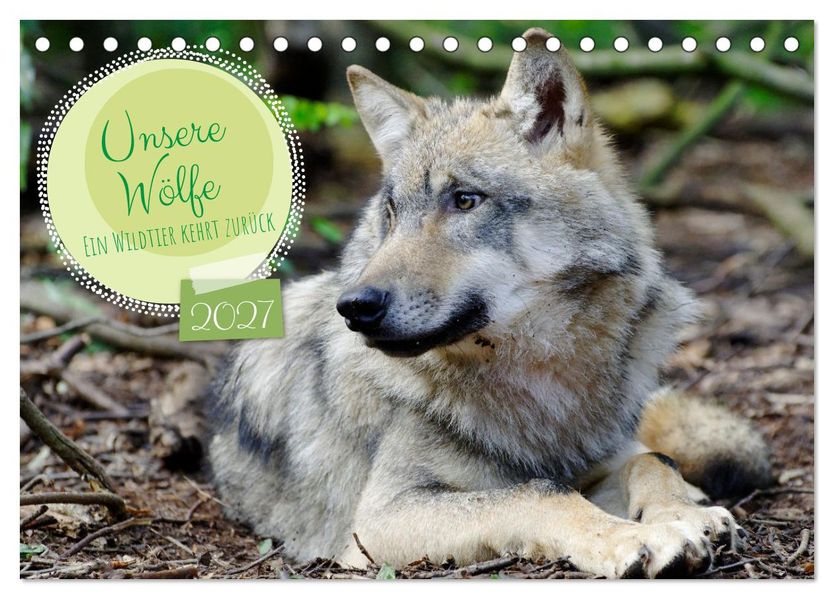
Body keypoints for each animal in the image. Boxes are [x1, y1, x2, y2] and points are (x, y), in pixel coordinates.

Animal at [207, 28, 772, 578]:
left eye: (465, 200)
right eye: (392, 213)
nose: (355, 306)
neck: (540, 382)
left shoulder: (602, 457)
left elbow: (651, 459)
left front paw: (685, 514)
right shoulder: (379, 520)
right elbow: (540, 493)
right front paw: (636, 538)